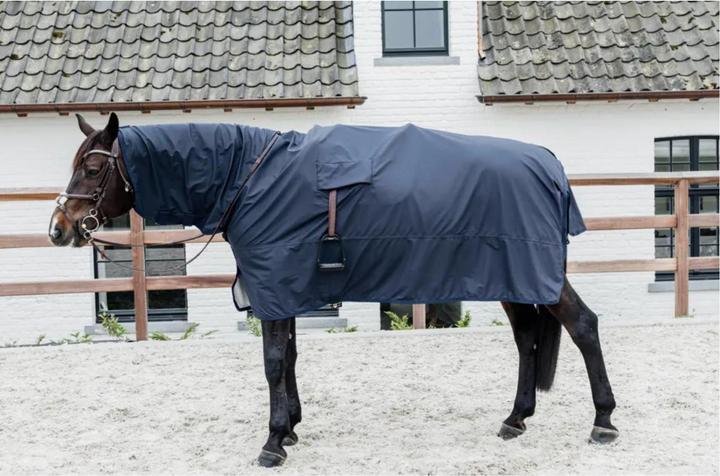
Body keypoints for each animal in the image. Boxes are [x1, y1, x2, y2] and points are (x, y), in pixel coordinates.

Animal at [49, 113, 618, 467]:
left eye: (93, 167)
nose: (58, 228)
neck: (248, 178)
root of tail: (549, 163)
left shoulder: (275, 285)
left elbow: (273, 362)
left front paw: (273, 441)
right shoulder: (283, 288)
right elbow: (290, 358)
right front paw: (292, 427)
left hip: (533, 274)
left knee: (583, 327)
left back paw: (603, 422)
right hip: (515, 279)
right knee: (527, 339)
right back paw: (516, 419)